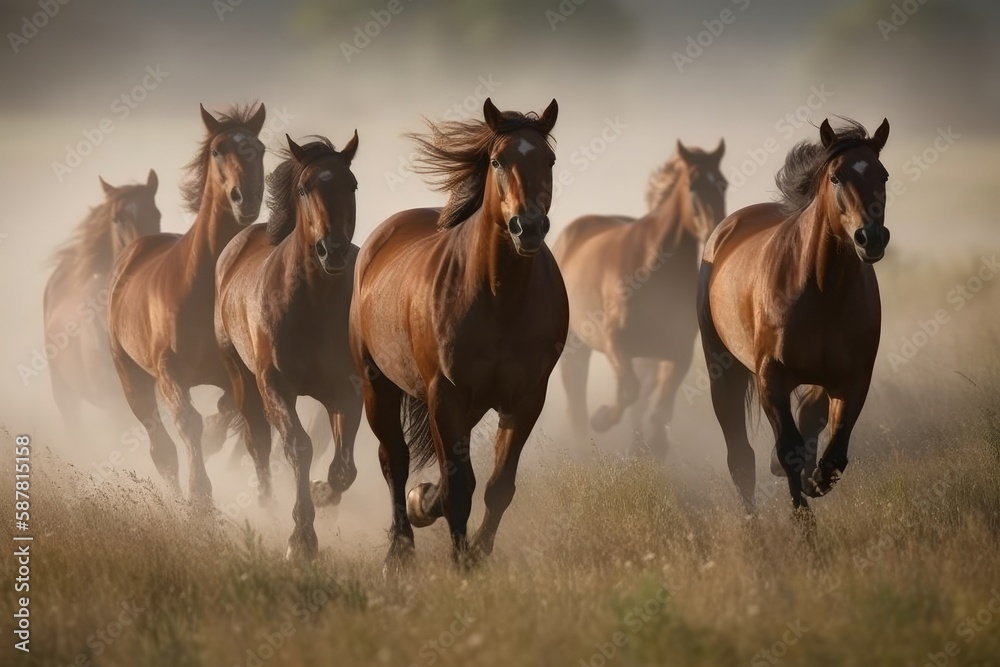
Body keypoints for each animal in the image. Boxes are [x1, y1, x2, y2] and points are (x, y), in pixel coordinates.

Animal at [107, 103, 267, 501]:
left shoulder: (236, 372)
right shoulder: (169, 370)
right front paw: (200, 497)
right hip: (132, 378)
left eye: (259, 149)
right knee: (160, 447)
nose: (246, 198)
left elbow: (224, 413)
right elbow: (188, 422)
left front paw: (212, 441)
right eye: (217, 151)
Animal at [215, 132, 361, 560]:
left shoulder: (345, 390)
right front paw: (301, 540)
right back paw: (266, 506)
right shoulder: (275, 384)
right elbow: (298, 447)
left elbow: (344, 467)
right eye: (305, 187)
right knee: (257, 442)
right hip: (242, 378)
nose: (333, 250)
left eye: (351, 185)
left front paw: (322, 494)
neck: (314, 303)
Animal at [350, 98, 567, 568]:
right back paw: (400, 550)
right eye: (497, 160)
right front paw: (459, 560)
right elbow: (459, 489)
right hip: (378, 385)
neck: (499, 298)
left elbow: (498, 487)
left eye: (549, 160)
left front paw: (477, 553)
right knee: (393, 459)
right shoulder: (444, 395)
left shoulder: (526, 399)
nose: (528, 227)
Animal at [553, 140, 726, 456]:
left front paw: (656, 444)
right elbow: (628, 391)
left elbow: (658, 408)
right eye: (693, 186)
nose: (715, 232)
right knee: (576, 403)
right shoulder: (614, 342)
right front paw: (602, 419)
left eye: (723, 183)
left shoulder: (678, 352)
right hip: (575, 347)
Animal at [697, 117, 890, 514]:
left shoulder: (853, 379)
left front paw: (815, 482)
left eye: (883, 175)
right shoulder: (772, 377)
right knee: (740, 457)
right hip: (722, 370)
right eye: (835, 177)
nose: (871, 237)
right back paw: (753, 521)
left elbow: (832, 454)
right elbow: (789, 449)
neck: (823, 290)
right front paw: (804, 521)